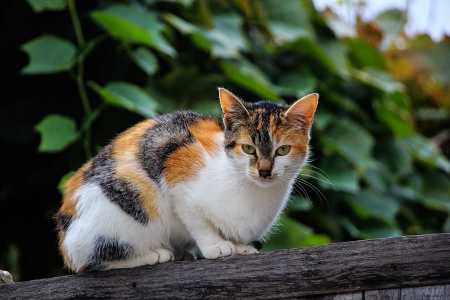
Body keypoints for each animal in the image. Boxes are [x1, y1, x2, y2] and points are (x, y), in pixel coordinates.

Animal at [55, 88, 316, 274]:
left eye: (283, 150)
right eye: (248, 148)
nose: (264, 171)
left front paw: (240, 246)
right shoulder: (177, 173)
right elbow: (197, 220)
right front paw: (216, 245)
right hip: (115, 215)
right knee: (90, 264)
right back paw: (154, 255)